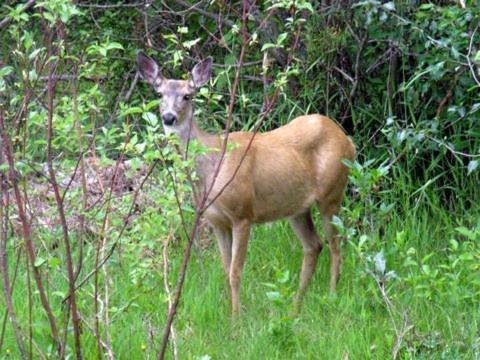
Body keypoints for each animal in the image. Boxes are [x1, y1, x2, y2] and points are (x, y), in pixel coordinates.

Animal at [137, 51, 354, 316]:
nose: (169, 117)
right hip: (297, 208)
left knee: (336, 243)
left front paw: (236, 318)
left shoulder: (243, 213)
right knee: (314, 245)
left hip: (332, 193)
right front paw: (232, 312)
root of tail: (347, 140)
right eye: (159, 94)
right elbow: (224, 268)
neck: (211, 168)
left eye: (187, 95)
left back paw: (332, 295)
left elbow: (235, 271)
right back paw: (295, 307)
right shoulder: (216, 221)